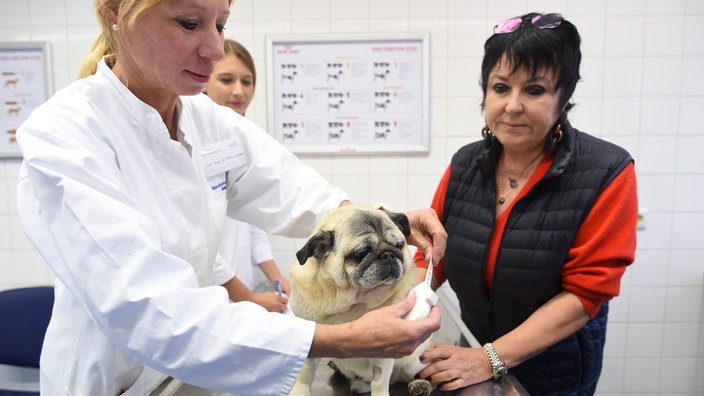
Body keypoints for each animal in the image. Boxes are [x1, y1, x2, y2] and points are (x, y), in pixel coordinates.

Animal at [288, 204, 432, 396]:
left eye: (399, 245)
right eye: (361, 253)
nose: (388, 255)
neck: (352, 301)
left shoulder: (385, 355)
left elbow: (379, 381)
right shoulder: (311, 341)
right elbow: (305, 372)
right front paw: (299, 391)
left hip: (414, 362)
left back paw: (420, 385)